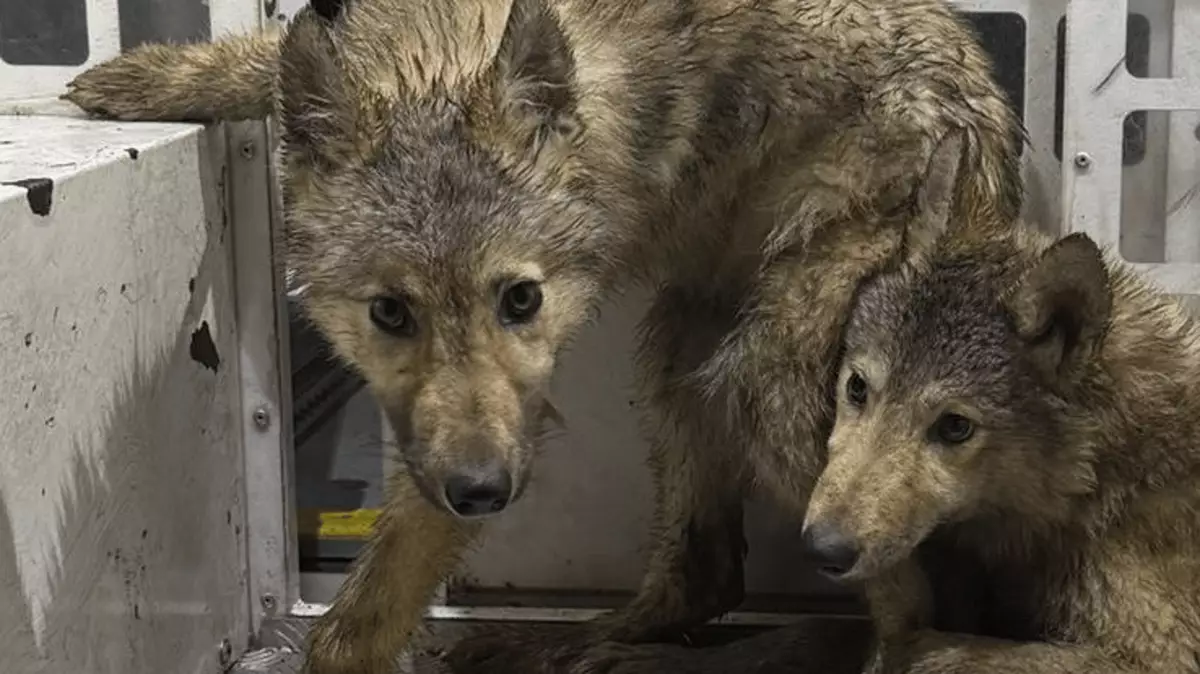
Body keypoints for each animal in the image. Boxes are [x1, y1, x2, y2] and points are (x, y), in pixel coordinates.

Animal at [63, 1, 1024, 672]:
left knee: (907, 599)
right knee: (706, 577)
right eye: (390, 313)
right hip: (682, 352)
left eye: (520, 300)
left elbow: (363, 613)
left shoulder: (499, 427)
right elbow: (265, 55)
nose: (484, 492)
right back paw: (581, 643)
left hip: (772, 391)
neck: (448, 55)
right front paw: (145, 78)